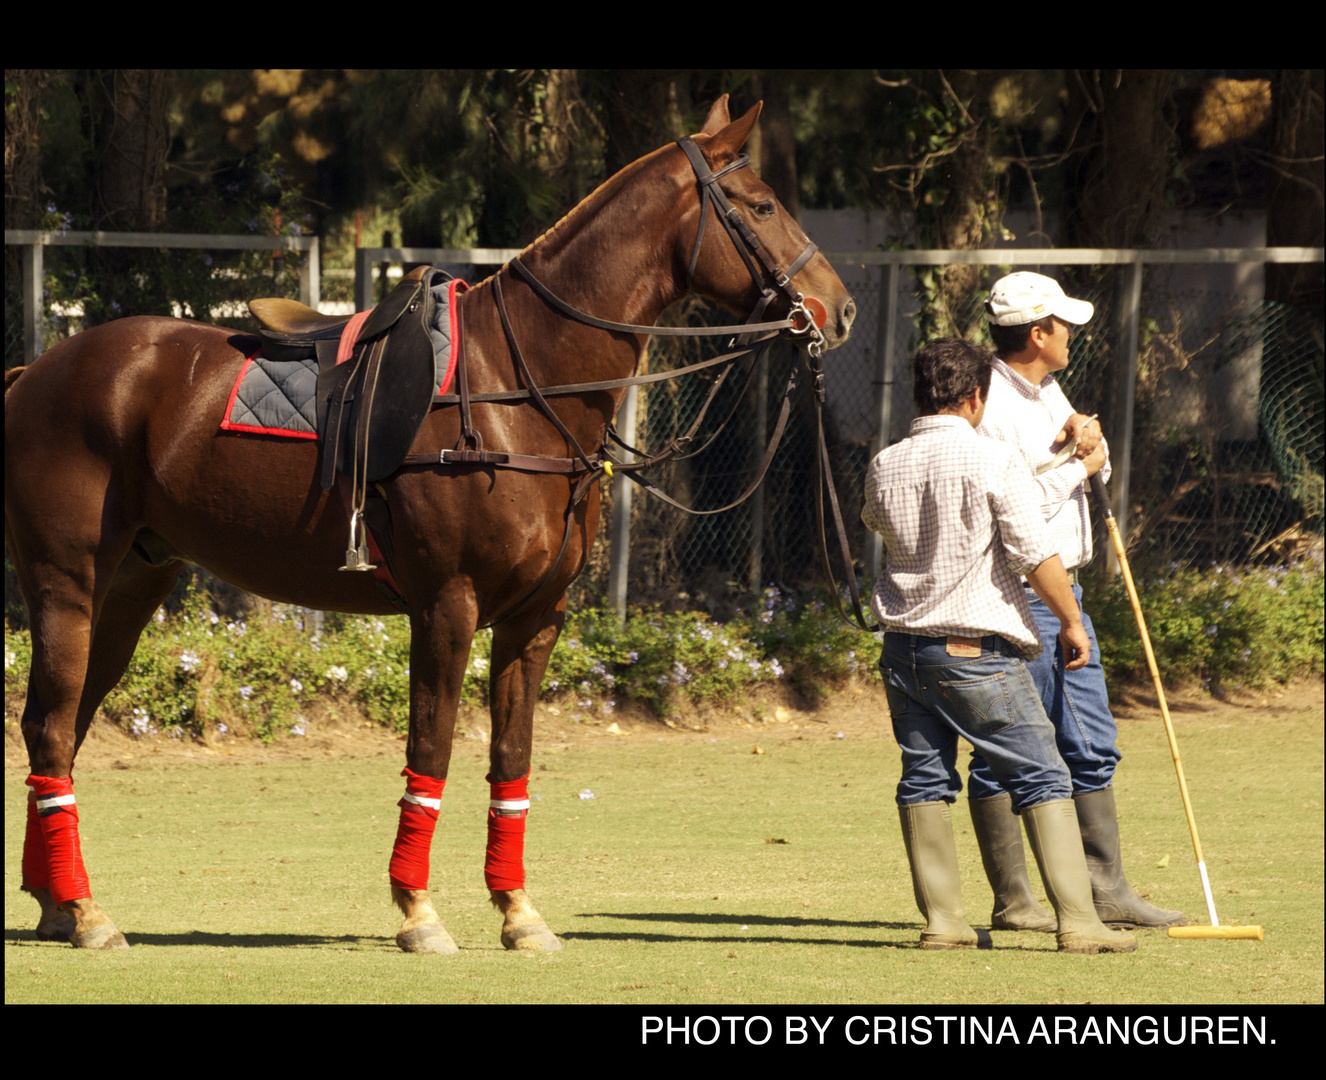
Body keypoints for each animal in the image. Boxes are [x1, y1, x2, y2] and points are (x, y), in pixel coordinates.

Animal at [5, 97, 853, 949]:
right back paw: (86, 913)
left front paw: (518, 910)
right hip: (66, 580)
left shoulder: (535, 619)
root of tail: (35, 371)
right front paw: (418, 909)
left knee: (58, 722)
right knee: (51, 727)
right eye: (760, 206)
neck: (520, 383)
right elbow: (432, 751)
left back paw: (56, 901)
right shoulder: (447, 605)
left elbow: (511, 759)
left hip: (131, 584)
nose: (839, 309)